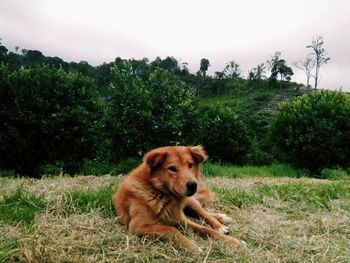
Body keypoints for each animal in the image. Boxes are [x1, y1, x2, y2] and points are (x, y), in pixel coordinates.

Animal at [113, 146, 246, 252]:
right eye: (172, 168)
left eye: (190, 165)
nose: (193, 185)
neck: (159, 192)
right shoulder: (138, 226)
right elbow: (171, 229)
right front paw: (192, 246)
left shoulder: (181, 218)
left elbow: (205, 229)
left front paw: (232, 241)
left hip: (191, 202)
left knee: (204, 213)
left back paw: (220, 224)